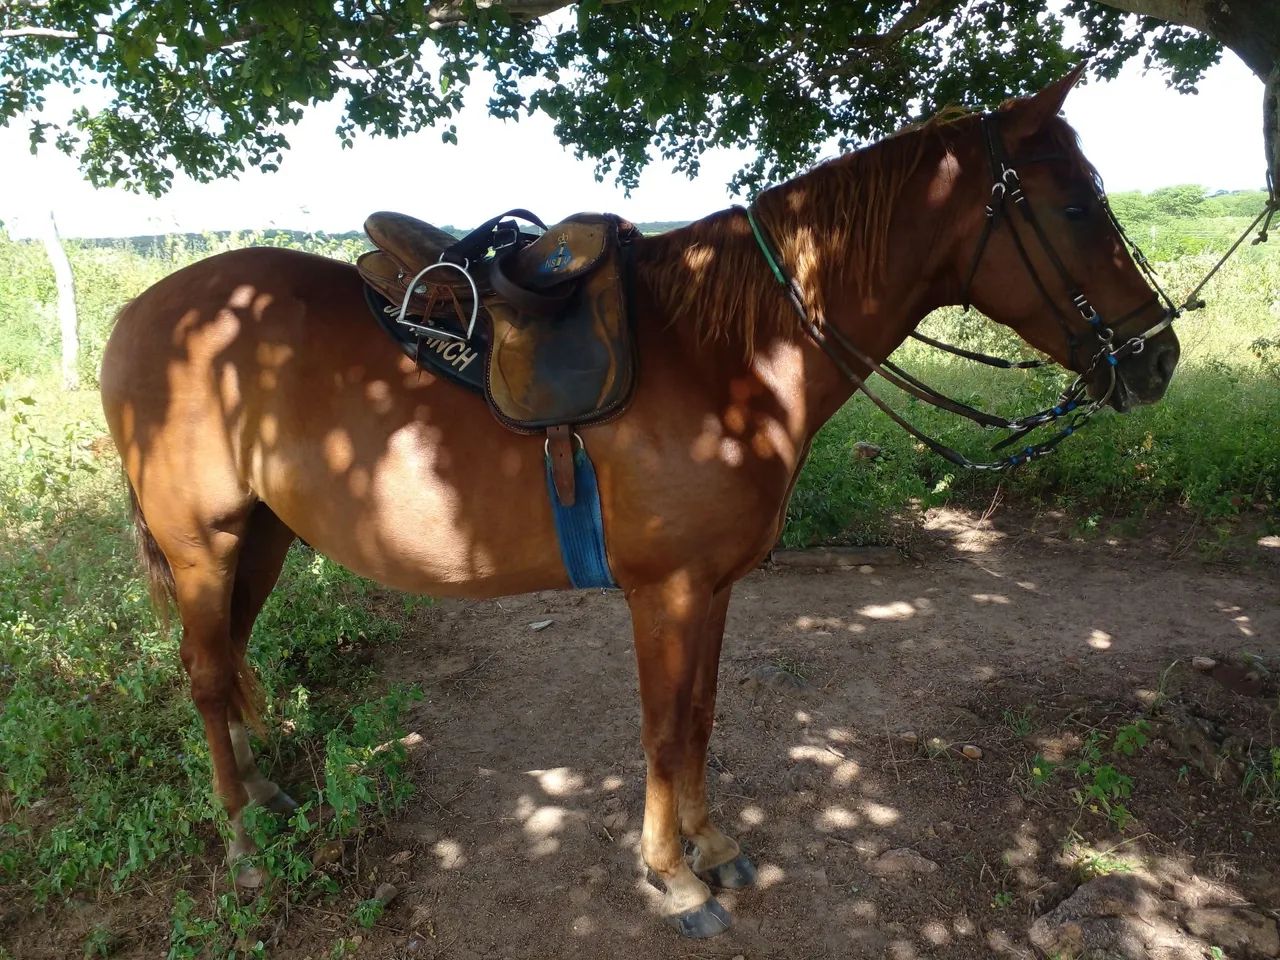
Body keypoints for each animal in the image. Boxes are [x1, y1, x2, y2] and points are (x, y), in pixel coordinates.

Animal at [100, 65, 1179, 938]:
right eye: (1074, 206)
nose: (1157, 356)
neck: (725, 355)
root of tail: (142, 314)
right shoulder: (666, 591)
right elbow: (664, 730)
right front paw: (673, 877)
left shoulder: (714, 589)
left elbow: (698, 718)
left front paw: (714, 848)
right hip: (203, 543)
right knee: (206, 675)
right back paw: (243, 842)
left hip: (263, 539)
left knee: (230, 659)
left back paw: (266, 785)